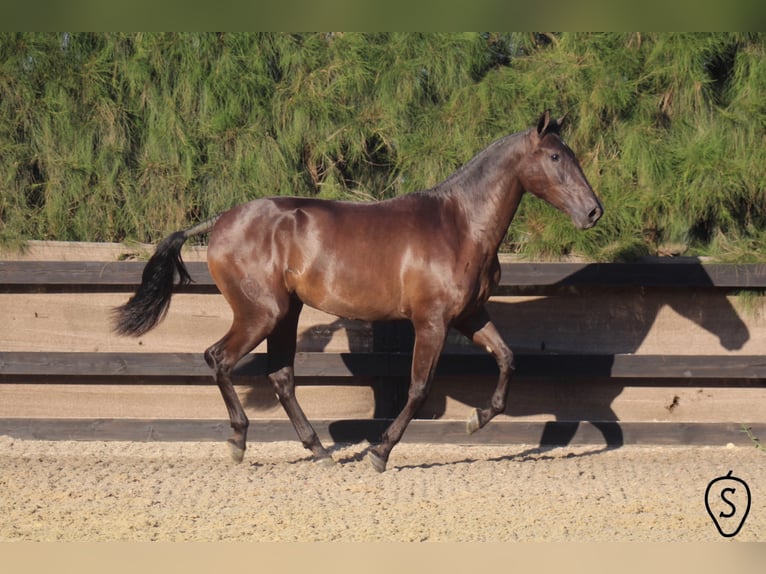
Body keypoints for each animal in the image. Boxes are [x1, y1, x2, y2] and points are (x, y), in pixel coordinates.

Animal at [113, 110, 603, 472]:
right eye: (555, 158)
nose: (593, 212)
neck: (460, 225)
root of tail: (221, 221)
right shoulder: (432, 322)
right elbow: (419, 388)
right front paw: (379, 452)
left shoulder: (470, 315)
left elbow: (507, 360)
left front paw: (474, 421)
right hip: (261, 314)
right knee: (219, 359)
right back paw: (238, 442)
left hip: (286, 313)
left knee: (281, 376)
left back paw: (319, 450)